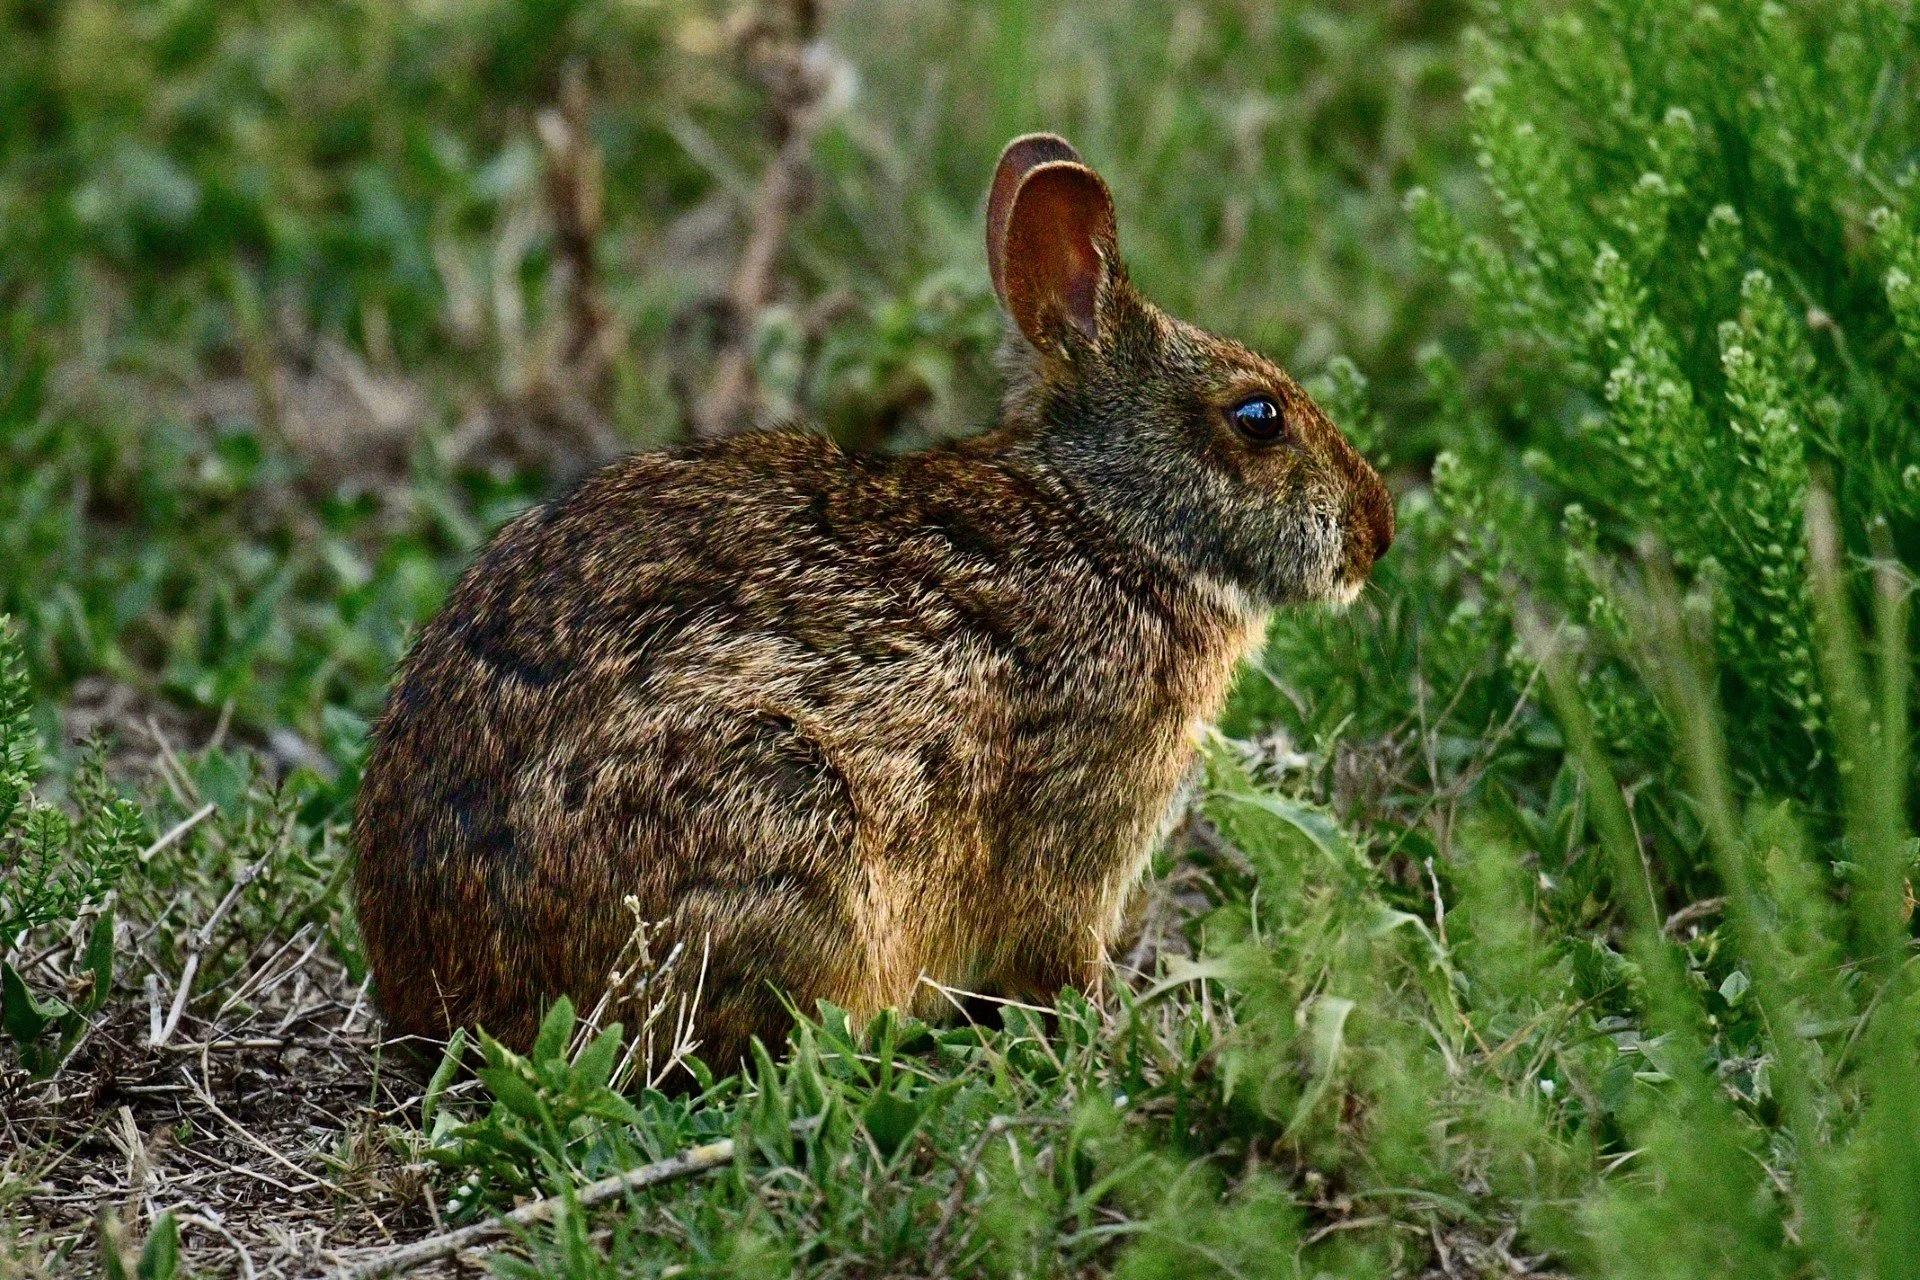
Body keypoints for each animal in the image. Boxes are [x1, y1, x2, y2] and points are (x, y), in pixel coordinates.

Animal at [352, 133, 1394, 1074]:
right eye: (1258, 417)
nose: (1376, 531)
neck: (1108, 521)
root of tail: (447, 997)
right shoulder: (1077, 827)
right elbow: (1059, 952)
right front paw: (1108, 1025)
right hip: (780, 824)